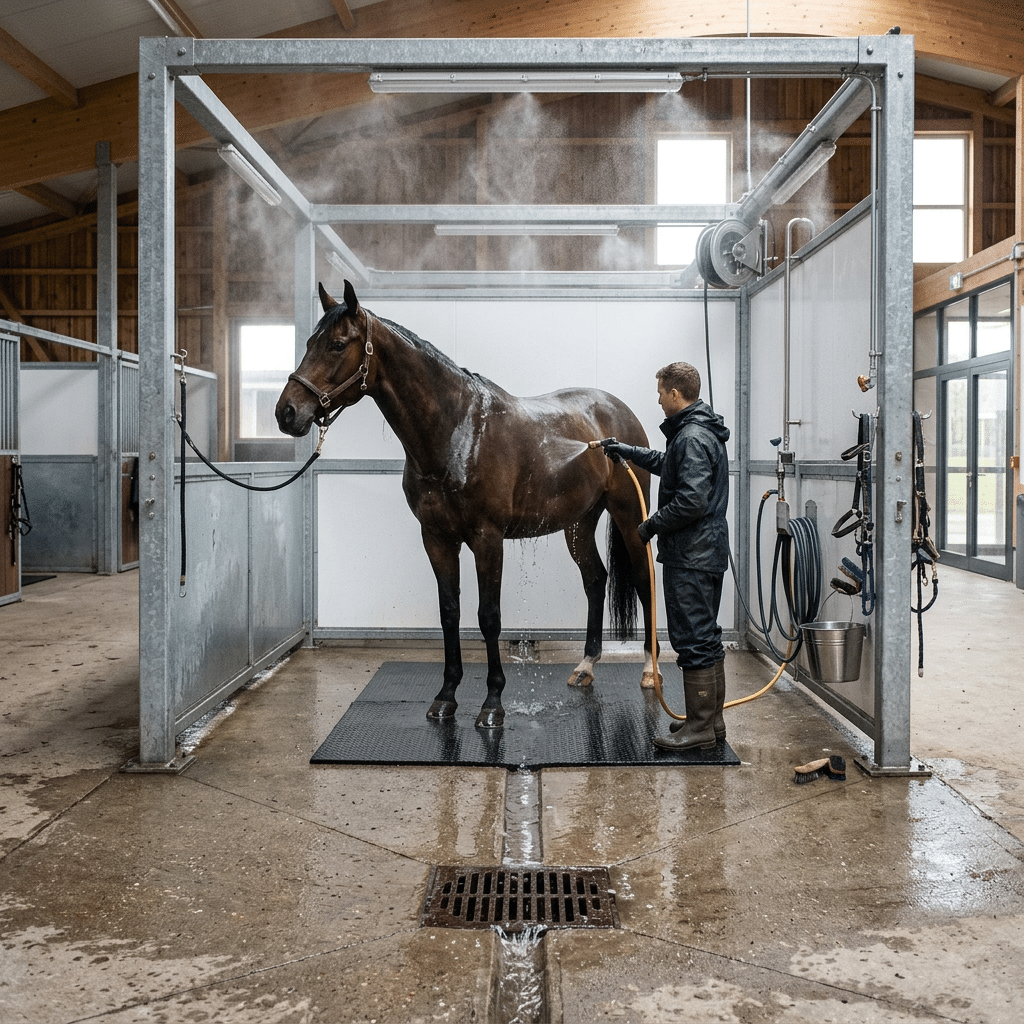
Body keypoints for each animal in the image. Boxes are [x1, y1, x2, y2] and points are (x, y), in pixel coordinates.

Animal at [276, 281, 658, 729]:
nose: (286, 412)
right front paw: (446, 697)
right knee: (595, 580)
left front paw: (493, 704)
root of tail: (617, 412)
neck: (456, 432)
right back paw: (585, 666)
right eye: (308, 343)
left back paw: (650, 672)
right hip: (579, 523)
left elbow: (488, 617)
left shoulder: (486, 539)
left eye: (337, 345)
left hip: (630, 515)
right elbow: (450, 613)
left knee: (643, 579)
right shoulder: (437, 539)